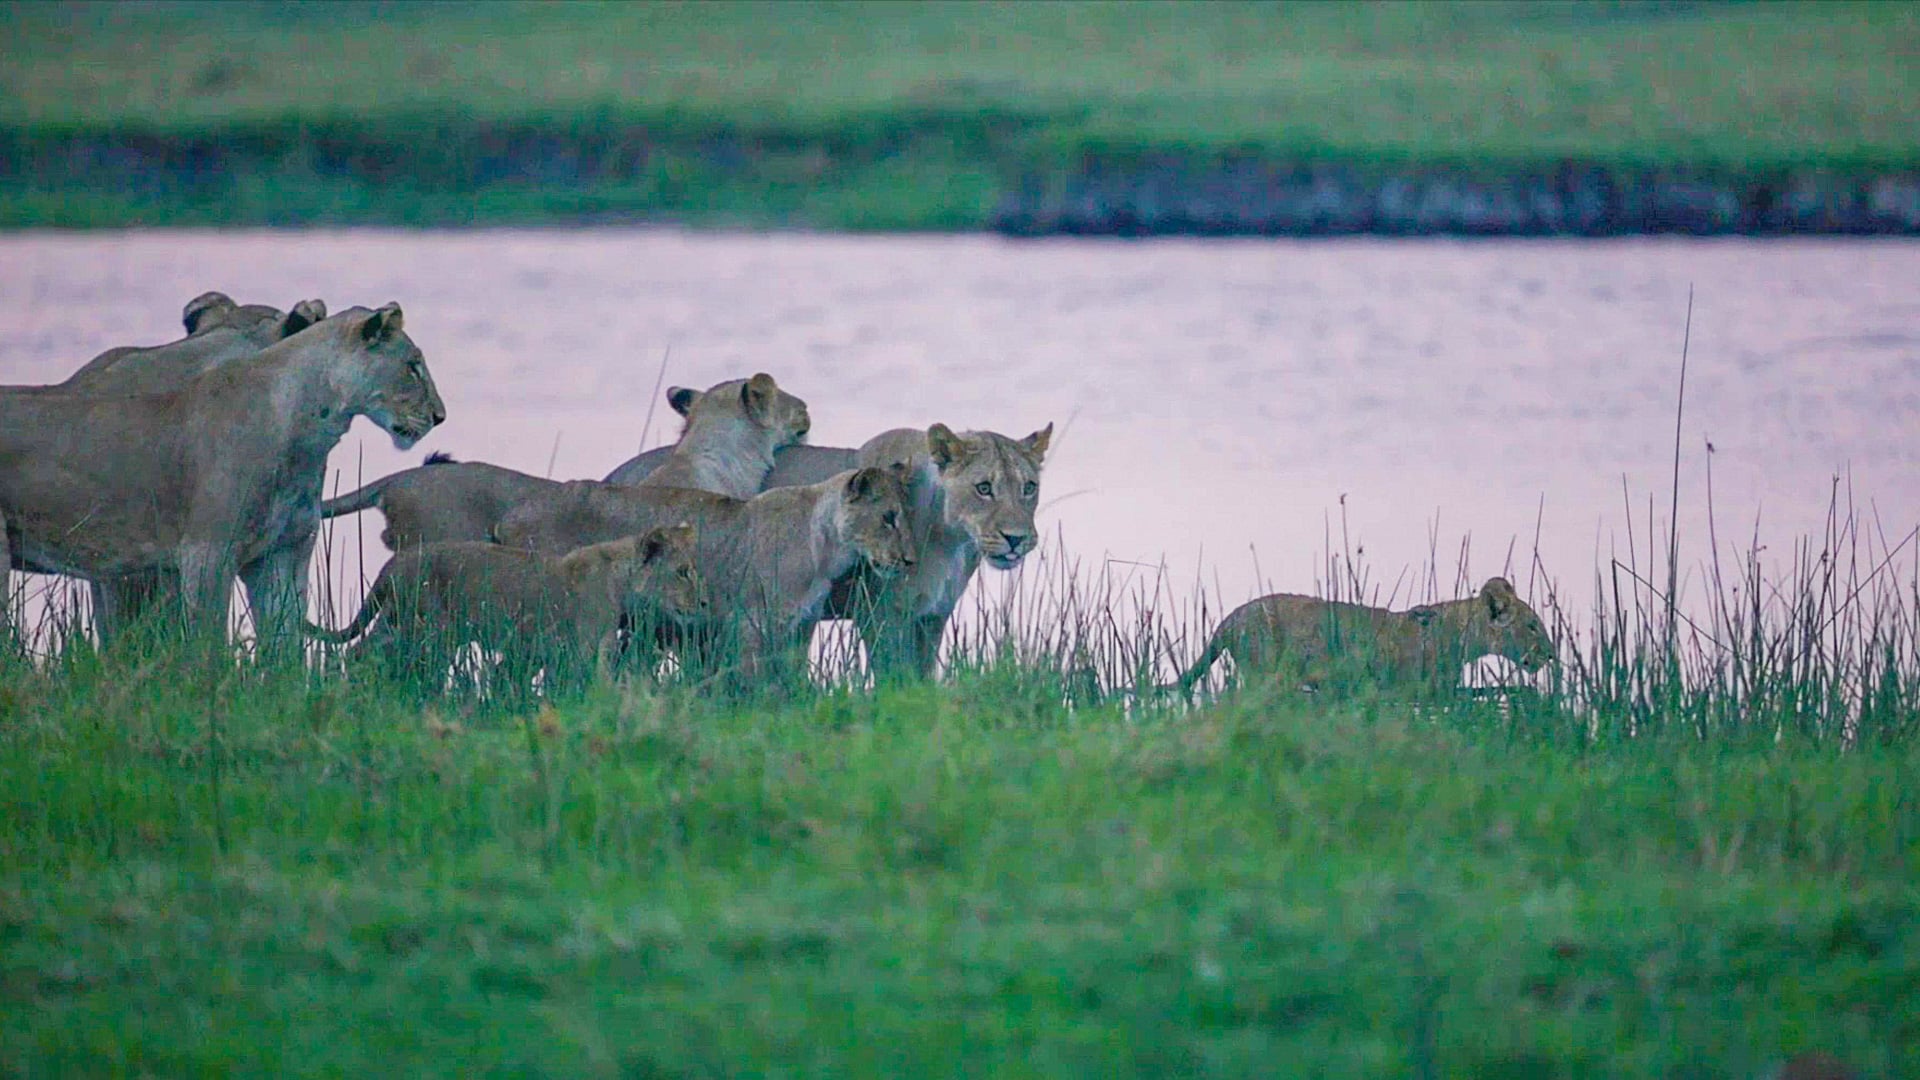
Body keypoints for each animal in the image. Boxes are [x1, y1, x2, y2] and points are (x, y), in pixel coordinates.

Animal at [0, 303, 444, 649]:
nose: (440, 416)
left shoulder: (283, 554)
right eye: (413, 367)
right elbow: (208, 647)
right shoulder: (207, 553)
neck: (307, 433)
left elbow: (285, 652)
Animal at [304, 523, 704, 691]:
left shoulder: (540, 652)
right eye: (683, 572)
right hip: (426, 629)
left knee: (359, 651)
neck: (621, 581)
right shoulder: (587, 651)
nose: (703, 601)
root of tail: (395, 562)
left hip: (398, 621)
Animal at [494, 466, 916, 684]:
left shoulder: (800, 626)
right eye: (888, 518)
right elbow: (754, 680)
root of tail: (507, 518)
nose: (911, 560)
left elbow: (792, 679)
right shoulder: (751, 622)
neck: (825, 549)